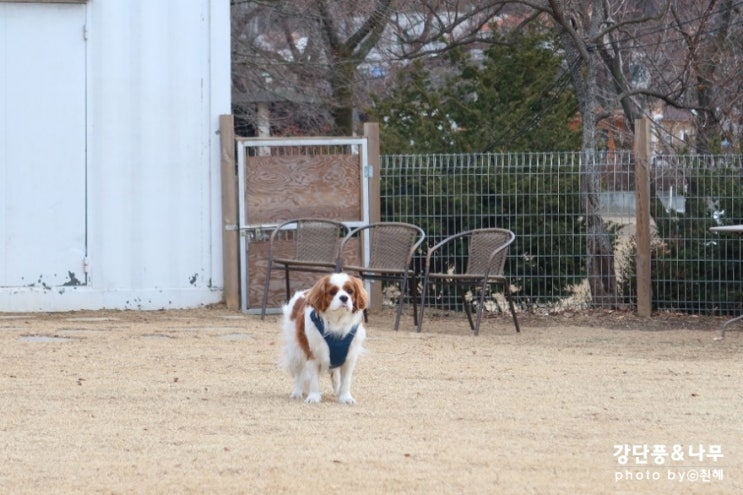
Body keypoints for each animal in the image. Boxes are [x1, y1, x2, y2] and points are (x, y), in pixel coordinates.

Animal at [280, 274, 368, 404]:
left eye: (350, 291)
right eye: (332, 292)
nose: (344, 298)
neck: (337, 322)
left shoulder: (349, 357)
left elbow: (346, 380)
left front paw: (345, 397)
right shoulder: (313, 354)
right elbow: (314, 380)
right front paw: (313, 397)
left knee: (335, 374)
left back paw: (337, 390)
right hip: (295, 352)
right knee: (298, 374)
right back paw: (297, 392)